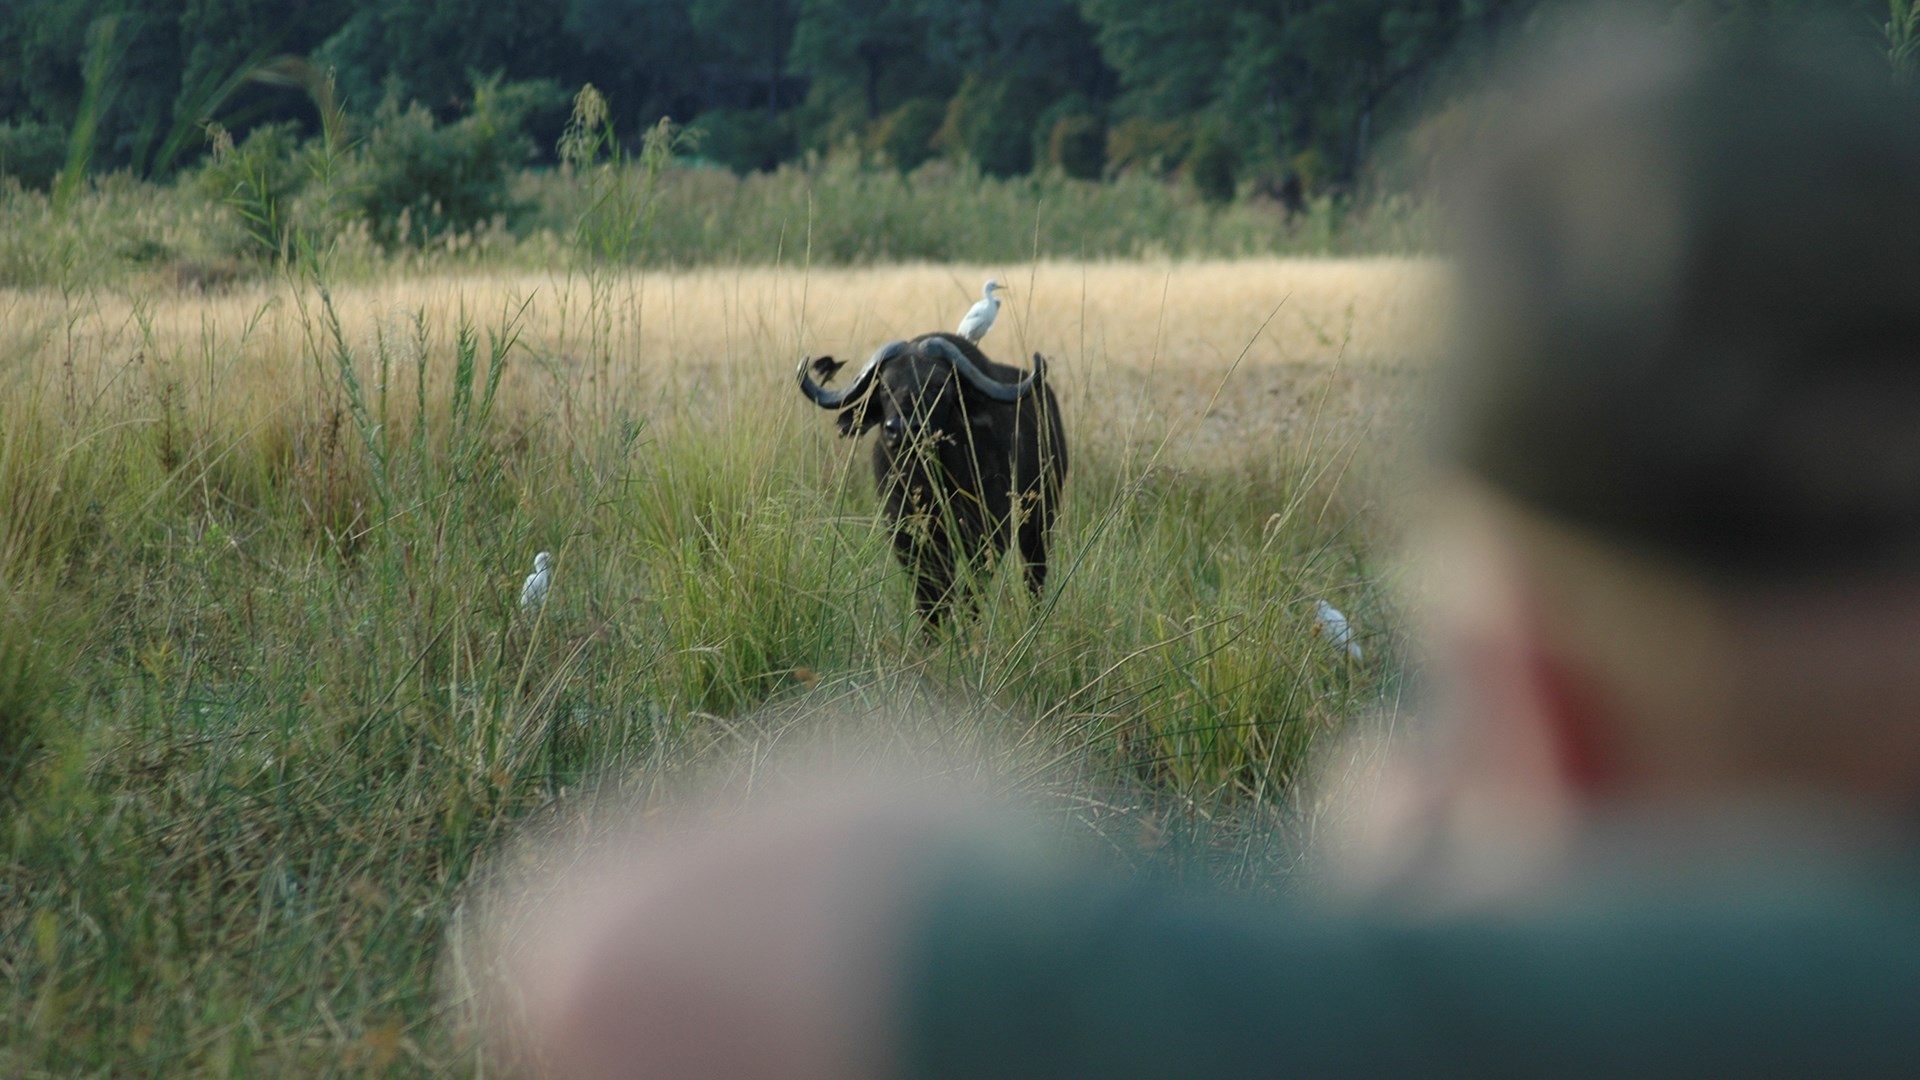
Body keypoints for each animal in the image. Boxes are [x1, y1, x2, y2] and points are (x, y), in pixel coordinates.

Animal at [797, 332, 1068, 629]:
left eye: (939, 385)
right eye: (885, 386)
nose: (901, 428)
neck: (929, 480)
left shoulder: (988, 532)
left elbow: (971, 590)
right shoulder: (907, 535)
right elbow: (930, 592)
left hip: (1041, 518)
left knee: (1034, 574)